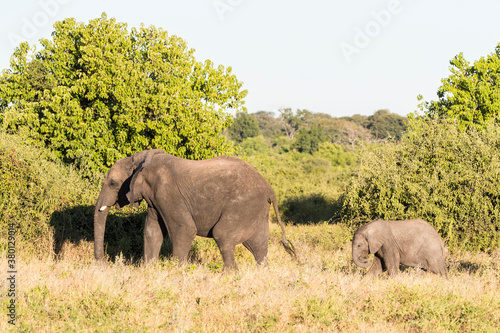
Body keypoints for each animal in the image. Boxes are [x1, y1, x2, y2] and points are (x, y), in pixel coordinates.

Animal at [126, 153, 296, 270]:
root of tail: (270, 190)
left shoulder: (167, 194)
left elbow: (185, 229)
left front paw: (176, 271)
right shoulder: (155, 202)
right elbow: (152, 231)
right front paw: (150, 269)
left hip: (243, 205)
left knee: (222, 234)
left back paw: (230, 274)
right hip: (257, 210)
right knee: (258, 245)